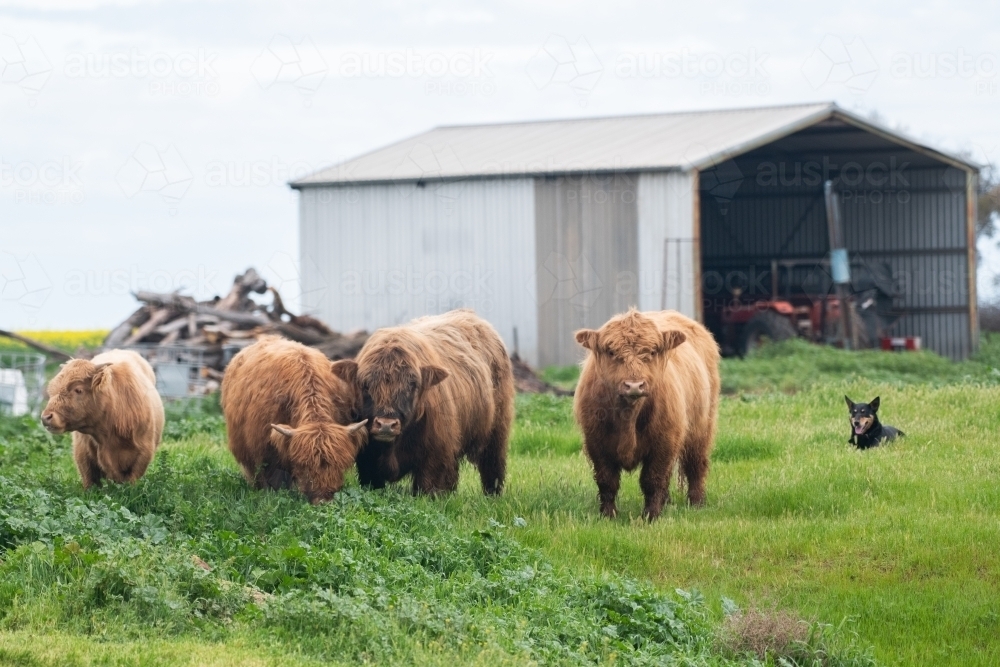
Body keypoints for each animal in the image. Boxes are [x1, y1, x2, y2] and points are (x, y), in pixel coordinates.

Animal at [41, 349, 164, 489]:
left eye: (78, 390)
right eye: (52, 389)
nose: (46, 417)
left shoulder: (144, 453)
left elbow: (132, 480)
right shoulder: (83, 455)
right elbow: (89, 480)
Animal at [332, 309, 515, 496]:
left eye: (412, 385)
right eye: (366, 385)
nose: (386, 425)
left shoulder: (434, 457)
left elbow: (426, 488)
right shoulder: (367, 462)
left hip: (497, 430)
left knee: (492, 465)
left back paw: (492, 495)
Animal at [573, 308, 720, 520]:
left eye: (652, 352)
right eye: (611, 352)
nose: (634, 385)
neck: (628, 416)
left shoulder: (665, 441)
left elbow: (652, 479)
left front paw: (651, 516)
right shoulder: (596, 442)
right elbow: (607, 480)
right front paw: (608, 515)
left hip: (701, 426)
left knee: (695, 464)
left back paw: (696, 503)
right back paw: (667, 502)